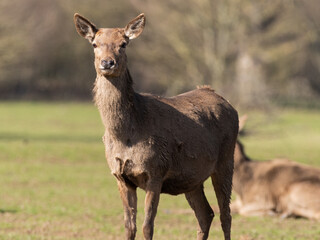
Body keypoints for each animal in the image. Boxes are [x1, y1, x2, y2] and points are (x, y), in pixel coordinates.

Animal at [74, 13, 239, 240]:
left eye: (123, 44)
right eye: (94, 44)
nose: (107, 62)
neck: (125, 134)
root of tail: (225, 101)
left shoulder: (156, 171)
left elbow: (147, 226)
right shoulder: (120, 176)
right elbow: (129, 226)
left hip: (226, 159)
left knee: (226, 214)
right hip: (192, 177)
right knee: (206, 214)